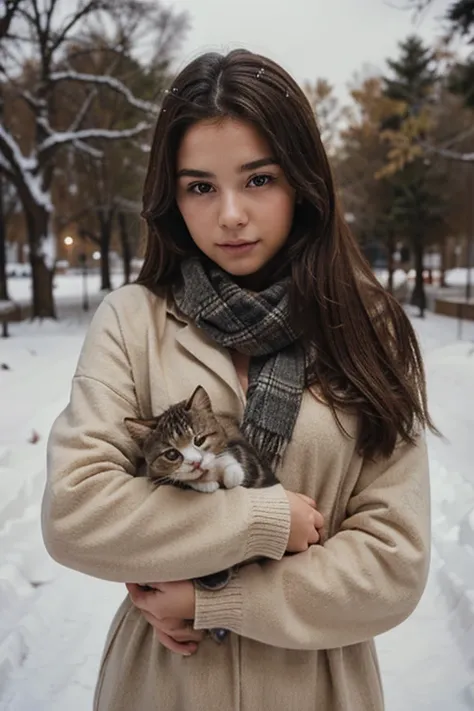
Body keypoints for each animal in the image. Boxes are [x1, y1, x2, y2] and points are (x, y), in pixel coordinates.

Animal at [124, 390, 280, 644]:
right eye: (172, 454)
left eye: (199, 439)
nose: (195, 462)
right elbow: (182, 481)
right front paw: (204, 483)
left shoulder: (241, 445)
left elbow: (234, 455)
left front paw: (230, 473)